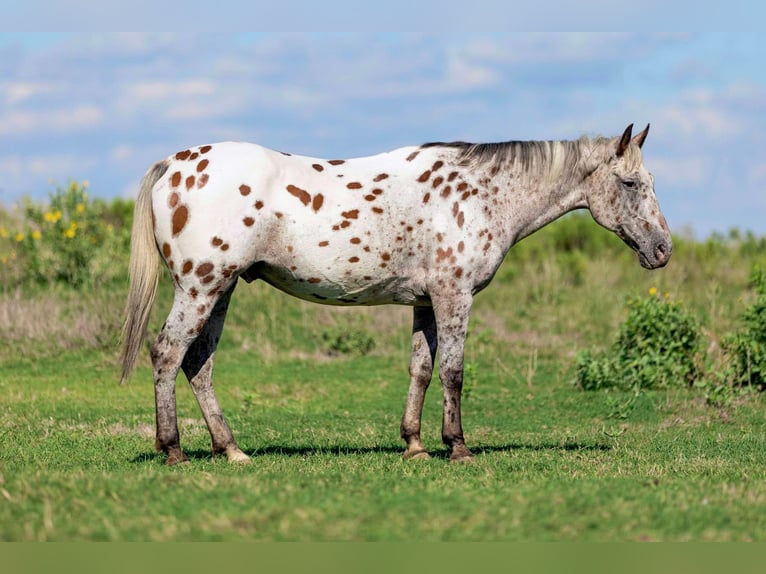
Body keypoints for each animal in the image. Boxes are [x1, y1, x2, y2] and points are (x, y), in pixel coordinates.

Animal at [118, 124, 672, 466]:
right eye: (629, 183)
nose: (662, 249)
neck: (481, 192)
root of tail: (173, 165)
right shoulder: (453, 296)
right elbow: (453, 372)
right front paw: (458, 447)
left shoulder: (425, 302)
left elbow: (421, 370)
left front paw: (415, 444)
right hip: (201, 286)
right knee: (167, 353)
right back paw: (173, 449)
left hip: (222, 289)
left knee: (198, 364)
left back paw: (230, 449)